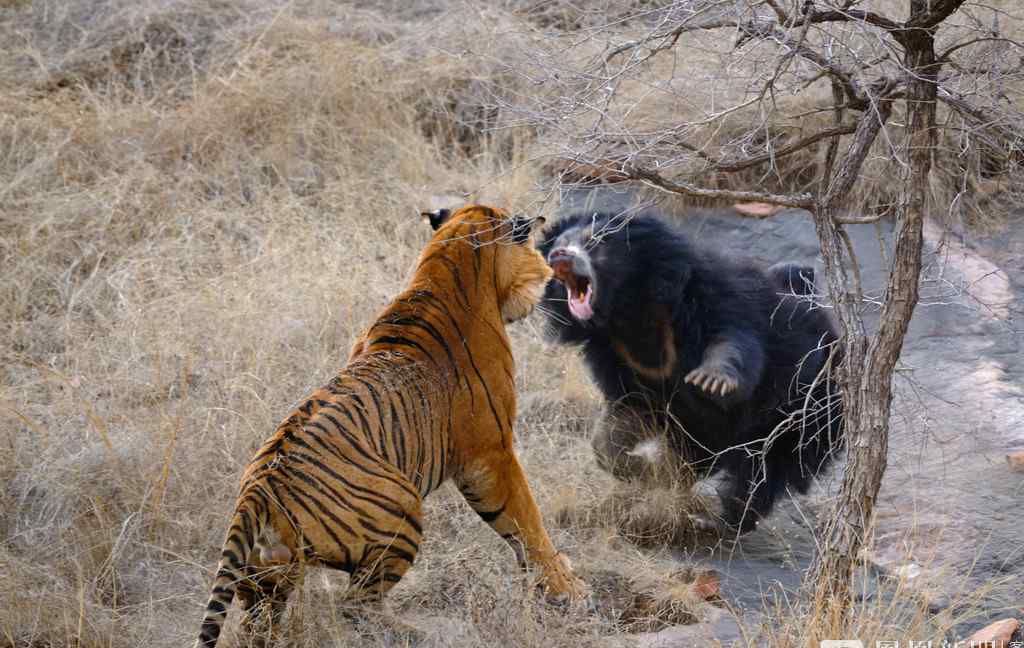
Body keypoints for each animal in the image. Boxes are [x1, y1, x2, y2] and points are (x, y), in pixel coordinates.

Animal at [192, 203, 585, 646]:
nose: (548, 272)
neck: (446, 265)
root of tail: (256, 492)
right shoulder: (491, 452)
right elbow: (526, 521)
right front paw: (566, 588)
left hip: (267, 574)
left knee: (260, 619)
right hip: (402, 509)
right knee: (356, 606)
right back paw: (418, 632)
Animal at [540, 213, 843, 536]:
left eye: (594, 242)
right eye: (559, 244)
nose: (559, 256)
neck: (627, 311)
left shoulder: (710, 298)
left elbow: (734, 342)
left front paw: (712, 380)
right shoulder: (618, 358)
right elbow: (623, 419)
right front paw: (645, 470)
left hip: (806, 411)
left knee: (763, 471)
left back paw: (720, 520)